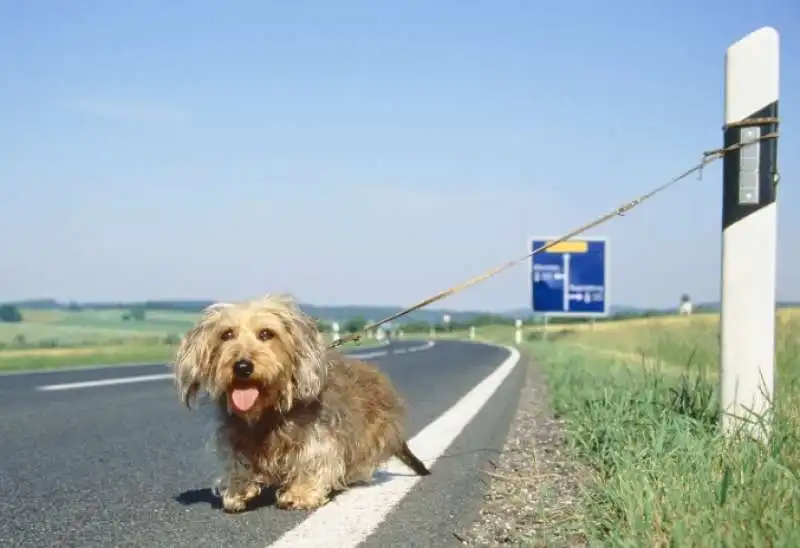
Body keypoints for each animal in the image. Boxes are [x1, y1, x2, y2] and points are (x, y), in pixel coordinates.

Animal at [170, 294, 432, 512]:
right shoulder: (236, 436)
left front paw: (300, 494)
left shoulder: (319, 436)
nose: (242, 366)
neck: (268, 410)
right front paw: (237, 491)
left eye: (266, 333)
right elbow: (238, 463)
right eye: (226, 335)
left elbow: (312, 461)